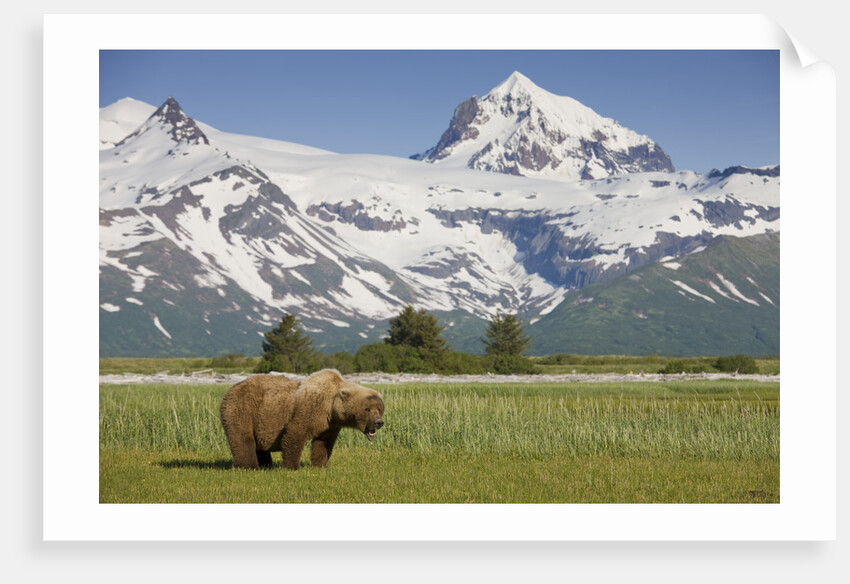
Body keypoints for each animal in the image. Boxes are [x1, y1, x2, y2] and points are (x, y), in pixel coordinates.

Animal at [219, 369, 384, 470]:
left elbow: (323, 443)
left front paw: (320, 464)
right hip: (243, 409)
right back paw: (251, 466)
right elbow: (295, 432)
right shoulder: (311, 408)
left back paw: (265, 464)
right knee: (243, 438)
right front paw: (293, 466)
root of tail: (230, 389)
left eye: (380, 409)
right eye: (367, 409)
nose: (379, 422)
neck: (331, 406)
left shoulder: (330, 424)